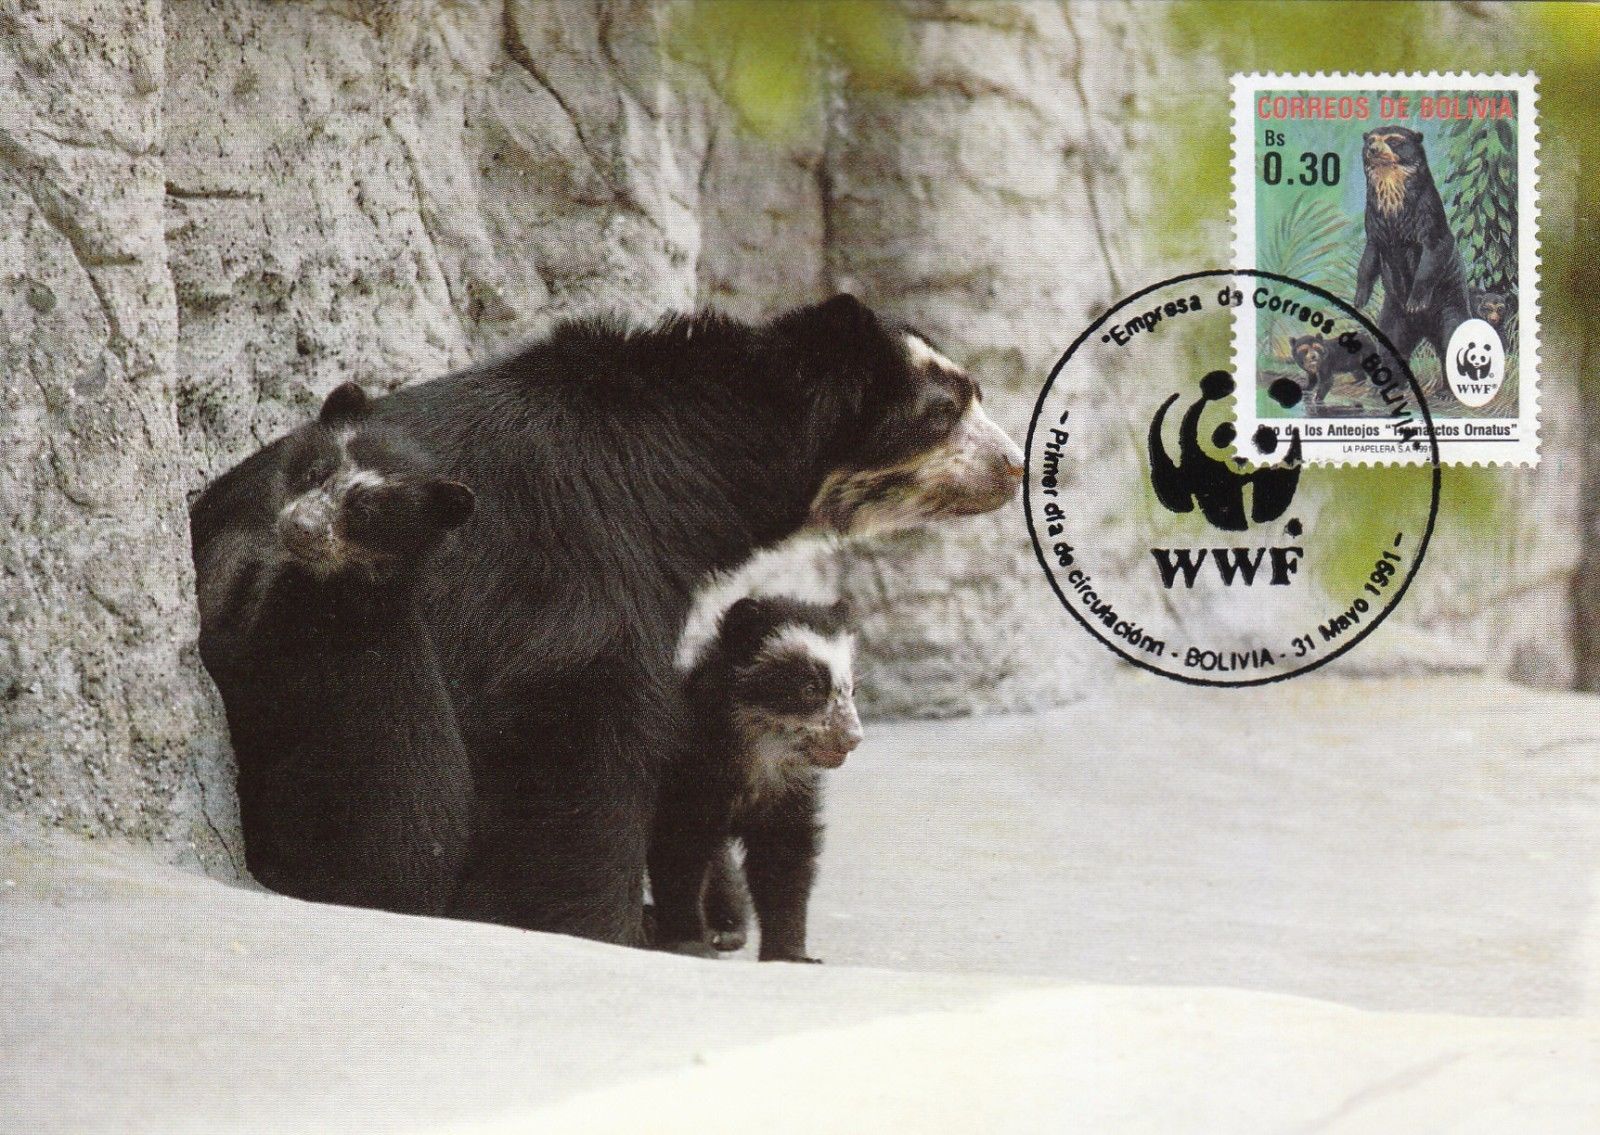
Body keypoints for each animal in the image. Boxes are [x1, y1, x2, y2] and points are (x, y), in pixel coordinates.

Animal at [649, 596, 860, 963]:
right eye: (809, 688)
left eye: (850, 690)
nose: (852, 738)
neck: (758, 752)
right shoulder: (687, 773)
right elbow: (677, 847)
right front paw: (687, 942)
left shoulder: (789, 791)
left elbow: (783, 860)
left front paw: (790, 955)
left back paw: (727, 929)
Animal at [1353, 125, 1472, 369]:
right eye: (1370, 139)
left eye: (1394, 140)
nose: (1373, 149)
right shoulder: (1374, 222)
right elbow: (1368, 260)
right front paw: (1359, 299)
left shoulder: (1427, 213)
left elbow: (1433, 253)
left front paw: (1416, 303)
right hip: (1393, 315)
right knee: (1391, 349)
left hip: (1450, 304)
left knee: (1452, 339)